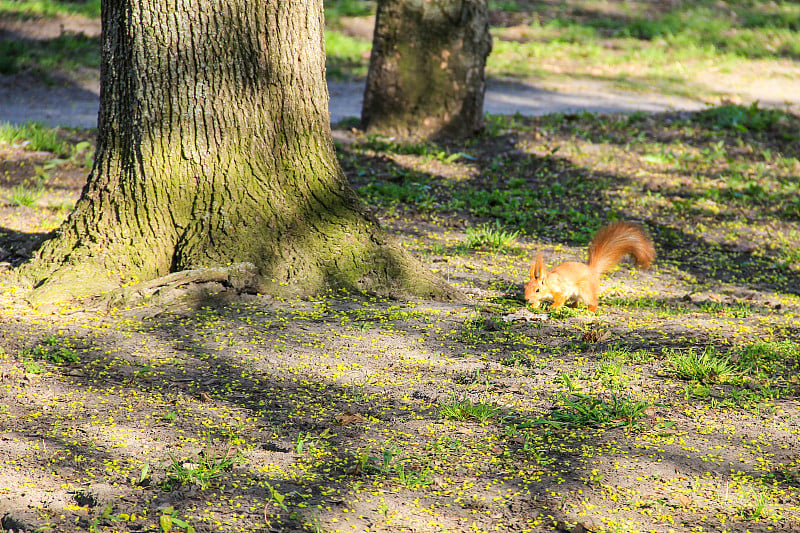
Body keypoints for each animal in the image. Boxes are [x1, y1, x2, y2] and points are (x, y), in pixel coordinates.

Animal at [524, 220, 656, 312]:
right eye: (525, 287)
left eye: (537, 290)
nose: (526, 299)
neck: (549, 283)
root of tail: (591, 270)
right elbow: (539, 300)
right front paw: (534, 305)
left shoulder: (562, 289)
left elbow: (560, 298)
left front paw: (554, 306)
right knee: (577, 301)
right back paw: (572, 305)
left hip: (585, 290)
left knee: (593, 301)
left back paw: (590, 310)